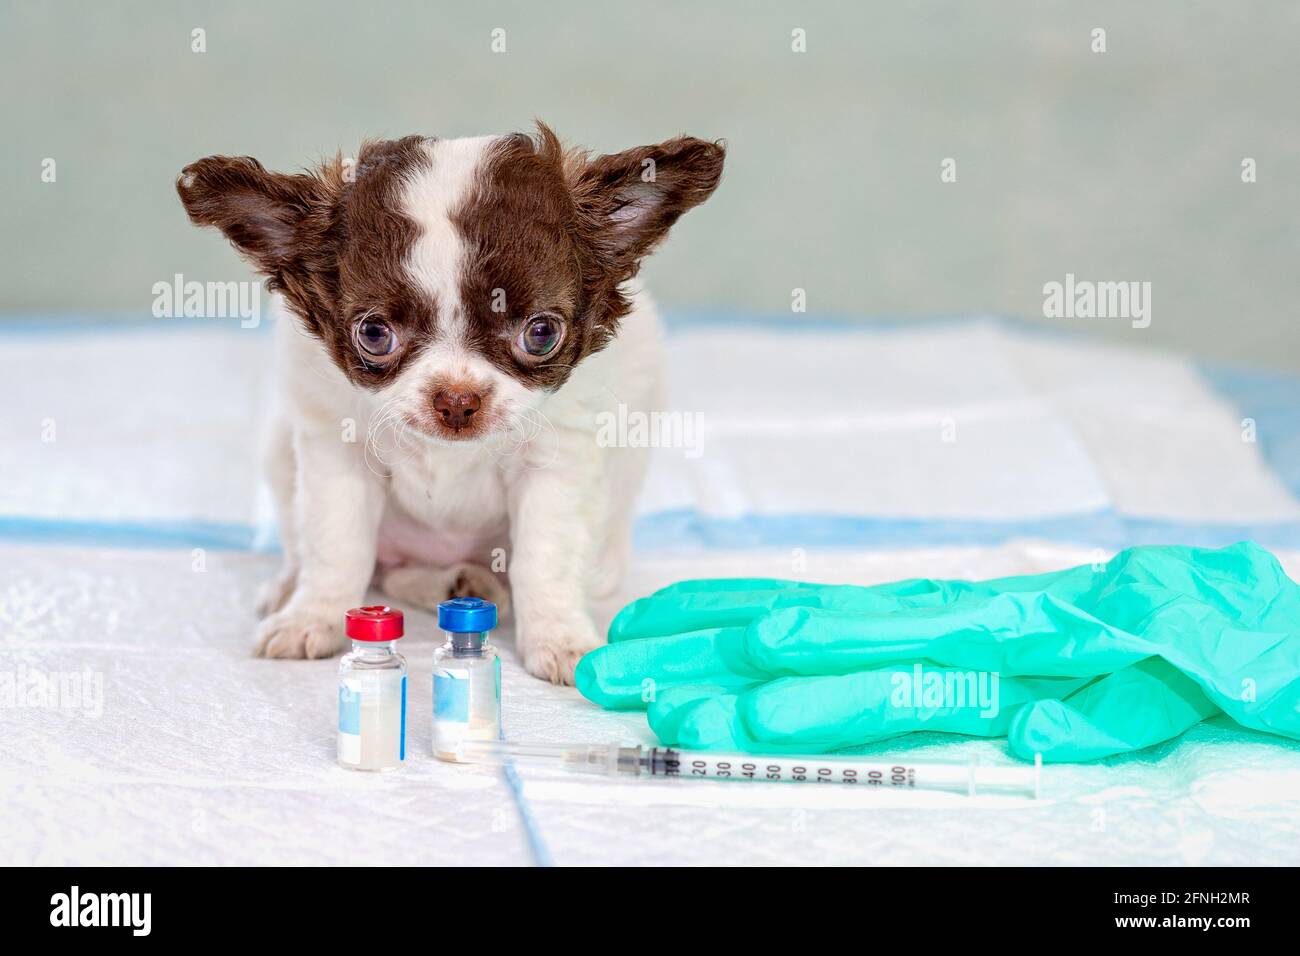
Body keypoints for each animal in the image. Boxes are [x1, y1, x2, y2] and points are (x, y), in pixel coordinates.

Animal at [175, 125, 722, 681]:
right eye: (373, 334)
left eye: (541, 334)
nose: (458, 399)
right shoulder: (336, 452)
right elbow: (337, 547)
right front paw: (313, 618)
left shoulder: (557, 466)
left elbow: (544, 559)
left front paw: (560, 637)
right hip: (280, 453)